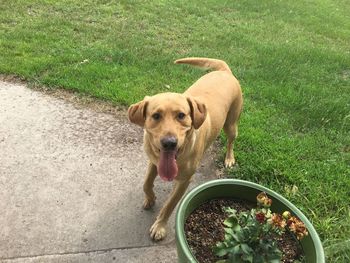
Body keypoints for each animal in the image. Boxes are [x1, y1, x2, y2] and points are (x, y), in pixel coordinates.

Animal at [127, 57, 242, 241]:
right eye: (156, 116)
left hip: (231, 124)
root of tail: (224, 71)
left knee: (231, 141)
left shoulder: (184, 181)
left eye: (181, 115)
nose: (169, 143)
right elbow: (146, 183)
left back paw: (229, 158)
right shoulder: (154, 161)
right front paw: (150, 198)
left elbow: (169, 204)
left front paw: (159, 226)